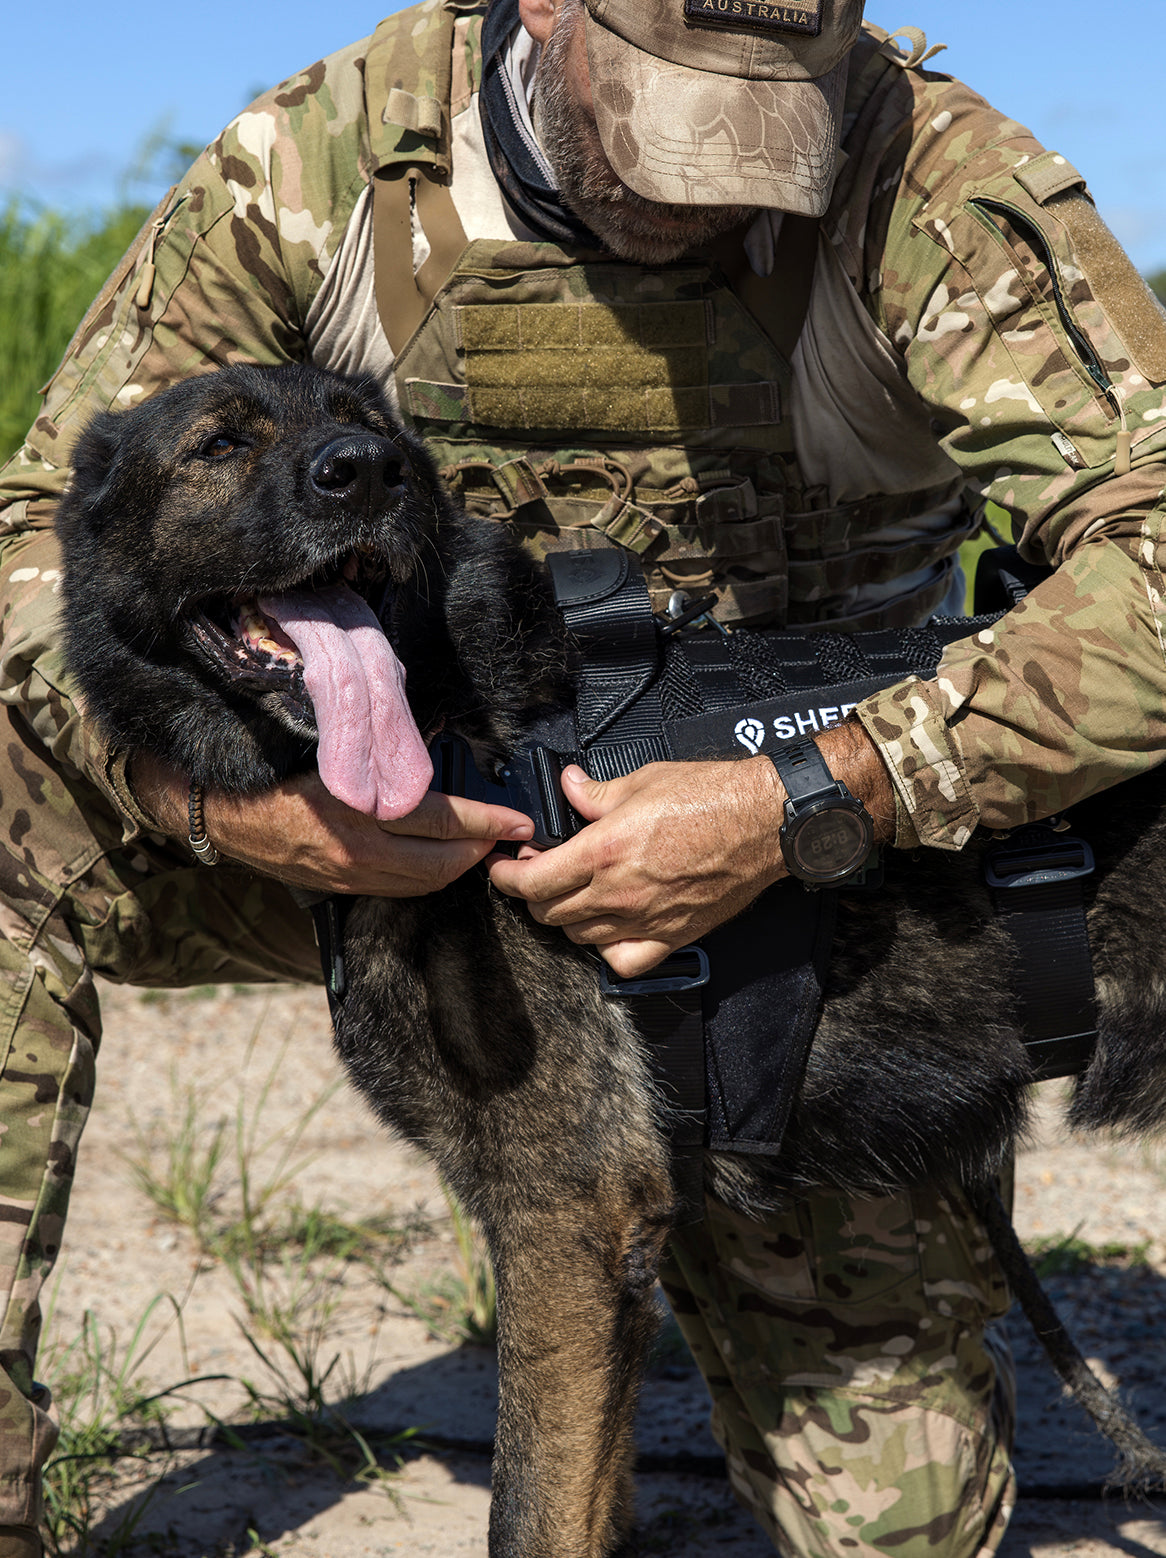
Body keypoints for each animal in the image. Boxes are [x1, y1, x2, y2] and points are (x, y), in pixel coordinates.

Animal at [56, 364, 1166, 1558]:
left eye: (370, 429)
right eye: (218, 445)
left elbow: (529, 1511)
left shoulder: (568, 1215)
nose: (366, 472)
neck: (465, 718)